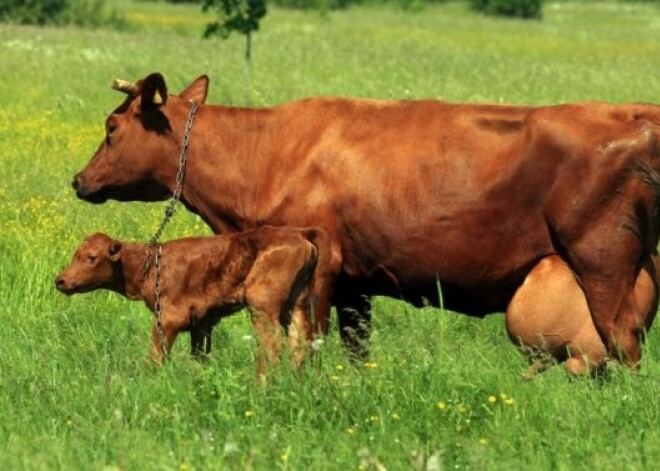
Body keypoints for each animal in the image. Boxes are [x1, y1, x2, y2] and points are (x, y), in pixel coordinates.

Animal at [54, 227, 332, 378]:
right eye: (76, 254)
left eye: (91, 257)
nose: (60, 280)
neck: (150, 265)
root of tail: (299, 233)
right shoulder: (202, 323)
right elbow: (199, 357)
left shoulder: (168, 318)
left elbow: (156, 355)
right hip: (297, 304)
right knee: (300, 341)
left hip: (262, 305)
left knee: (271, 343)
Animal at [72, 74, 660, 366]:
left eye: (111, 128)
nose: (79, 181)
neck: (262, 154)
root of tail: (633, 112)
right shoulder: (356, 282)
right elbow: (356, 350)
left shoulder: (324, 266)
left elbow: (308, 341)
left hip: (602, 261)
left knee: (623, 341)